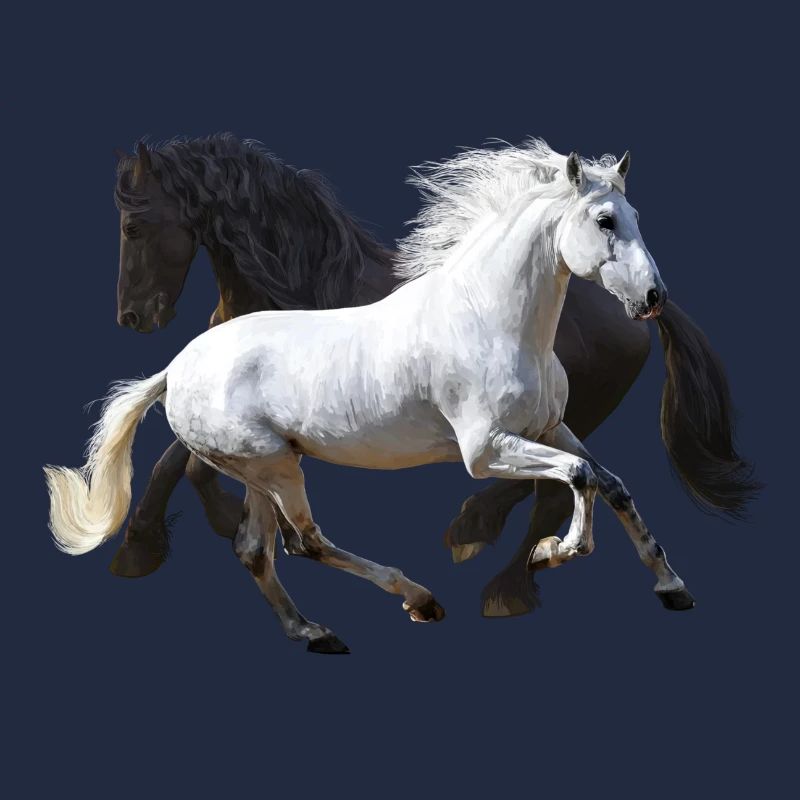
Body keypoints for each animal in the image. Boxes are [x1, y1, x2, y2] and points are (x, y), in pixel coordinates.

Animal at [49, 141, 714, 652]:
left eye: (635, 214)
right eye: (605, 221)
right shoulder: (484, 450)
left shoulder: (550, 428)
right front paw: (556, 553)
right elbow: (579, 477)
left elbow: (612, 483)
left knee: (255, 549)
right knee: (302, 541)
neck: (492, 317)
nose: (652, 297)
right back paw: (422, 599)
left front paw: (673, 587)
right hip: (273, 465)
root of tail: (175, 368)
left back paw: (315, 632)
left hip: (261, 469)